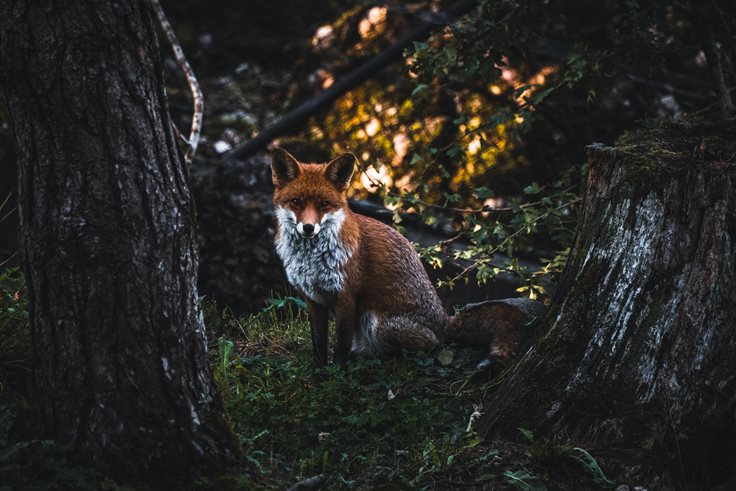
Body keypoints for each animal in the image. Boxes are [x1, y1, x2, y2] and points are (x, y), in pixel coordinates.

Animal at [270, 148, 544, 367]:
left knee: (433, 346)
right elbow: (318, 344)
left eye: (324, 204)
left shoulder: (346, 297)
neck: (312, 260)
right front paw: (318, 371)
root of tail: (444, 321)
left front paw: (337, 374)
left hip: (376, 322)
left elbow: (340, 348)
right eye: (296, 201)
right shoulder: (312, 299)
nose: (308, 228)